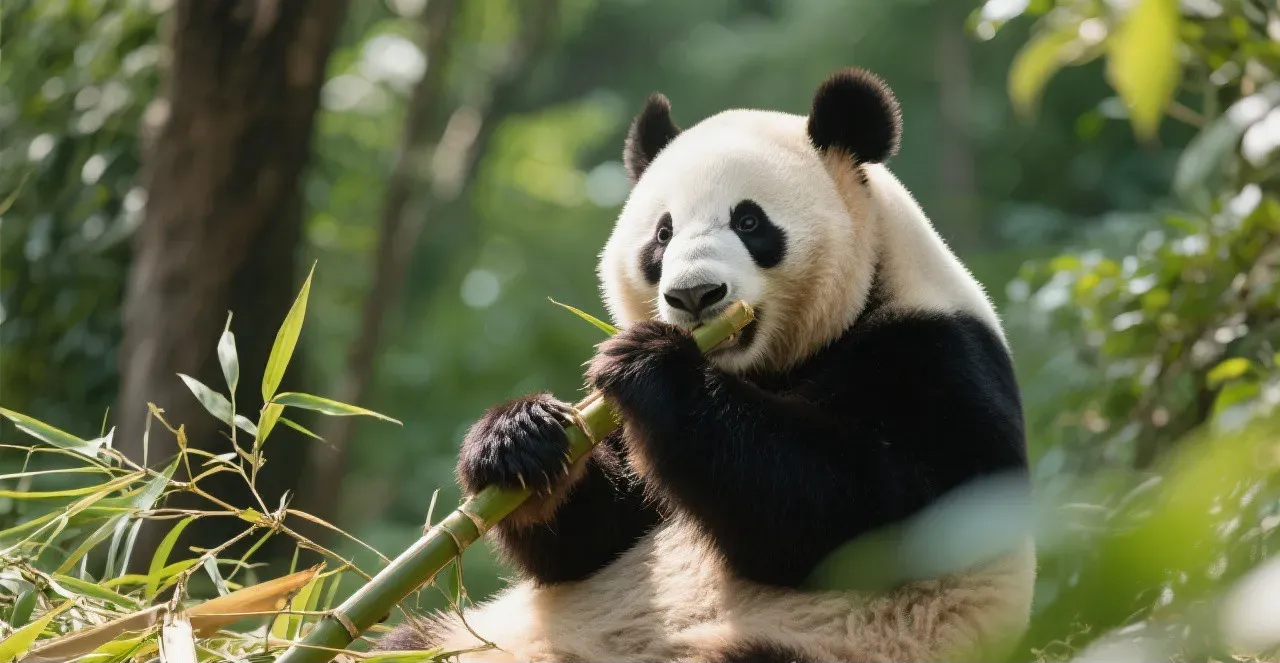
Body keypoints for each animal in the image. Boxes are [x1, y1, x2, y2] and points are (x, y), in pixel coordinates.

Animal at [376, 67, 1036, 663]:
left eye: (749, 221)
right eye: (662, 235)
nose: (695, 296)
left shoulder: (937, 356)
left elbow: (870, 515)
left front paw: (653, 366)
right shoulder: (627, 445)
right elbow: (587, 543)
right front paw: (519, 436)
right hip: (474, 638)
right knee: (405, 643)